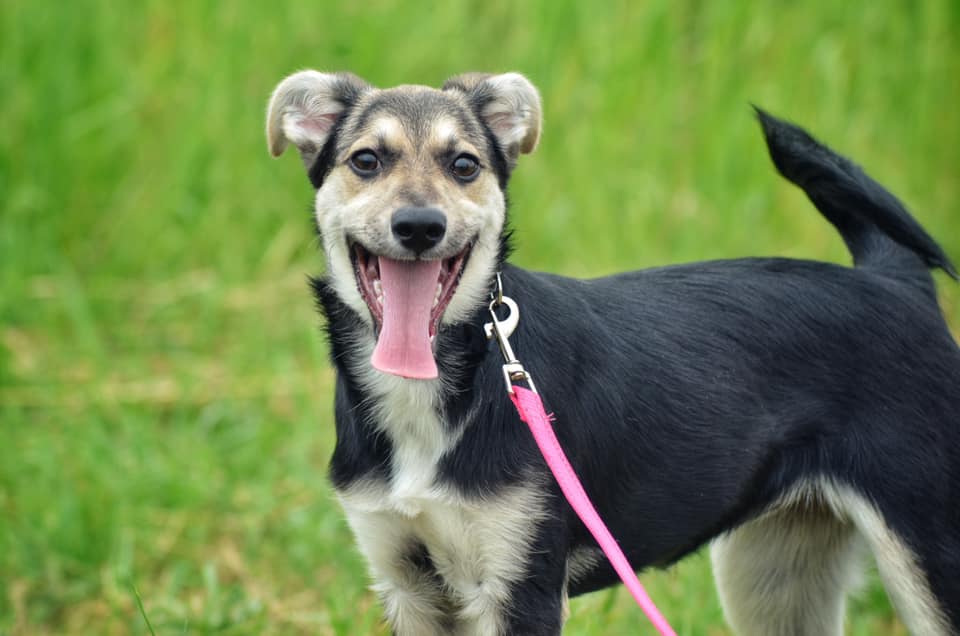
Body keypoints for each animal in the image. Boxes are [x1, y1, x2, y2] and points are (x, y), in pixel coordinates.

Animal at [264, 72, 960, 632]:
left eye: (463, 165)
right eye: (366, 161)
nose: (419, 226)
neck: (451, 387)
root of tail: (895, 282)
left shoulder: (520, 590)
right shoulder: (408, 586)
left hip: (927, 553)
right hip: (770, 575)